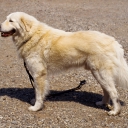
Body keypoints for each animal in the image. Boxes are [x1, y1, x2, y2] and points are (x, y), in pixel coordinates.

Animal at [0, 12, 128, 116]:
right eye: (7, 18)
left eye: (11, 20)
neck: (31, 35)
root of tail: (114, 42)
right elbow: (39, 91)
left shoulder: (38, 74)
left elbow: (39, 93)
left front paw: (36, 107)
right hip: (98, 74)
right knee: (107, 91)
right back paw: (102, 103)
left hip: (101, 73)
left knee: (114, 93)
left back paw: (115, 111)